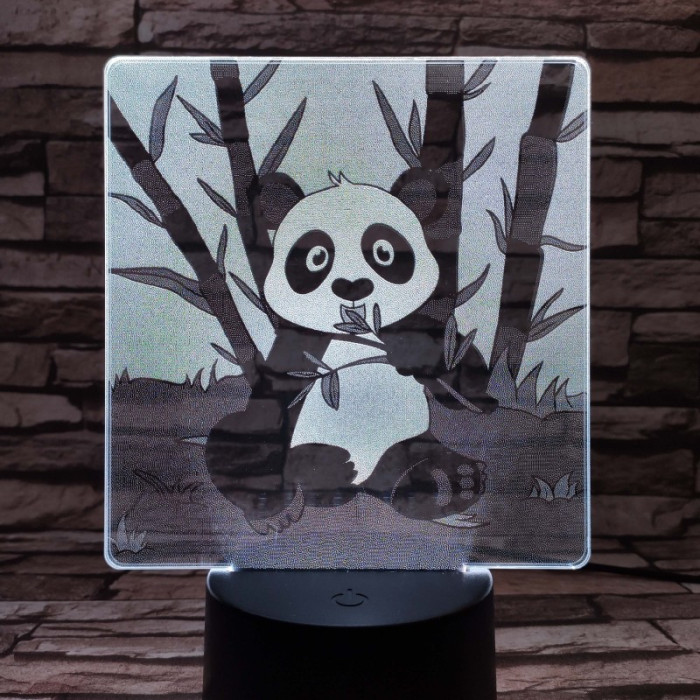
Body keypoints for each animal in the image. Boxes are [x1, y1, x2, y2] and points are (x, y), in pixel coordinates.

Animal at [205, 173, 488, 534]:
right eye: (316, 257)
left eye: (383, 252)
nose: (352, 286)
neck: (356, 334)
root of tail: (365, 481)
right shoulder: (298, 348)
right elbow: (268, 405)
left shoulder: (425, 329)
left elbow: (463, 381)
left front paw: (410, 353)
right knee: (234, 437)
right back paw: (316, 483)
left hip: (408, 440)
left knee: (418, 463)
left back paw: (451, 484)